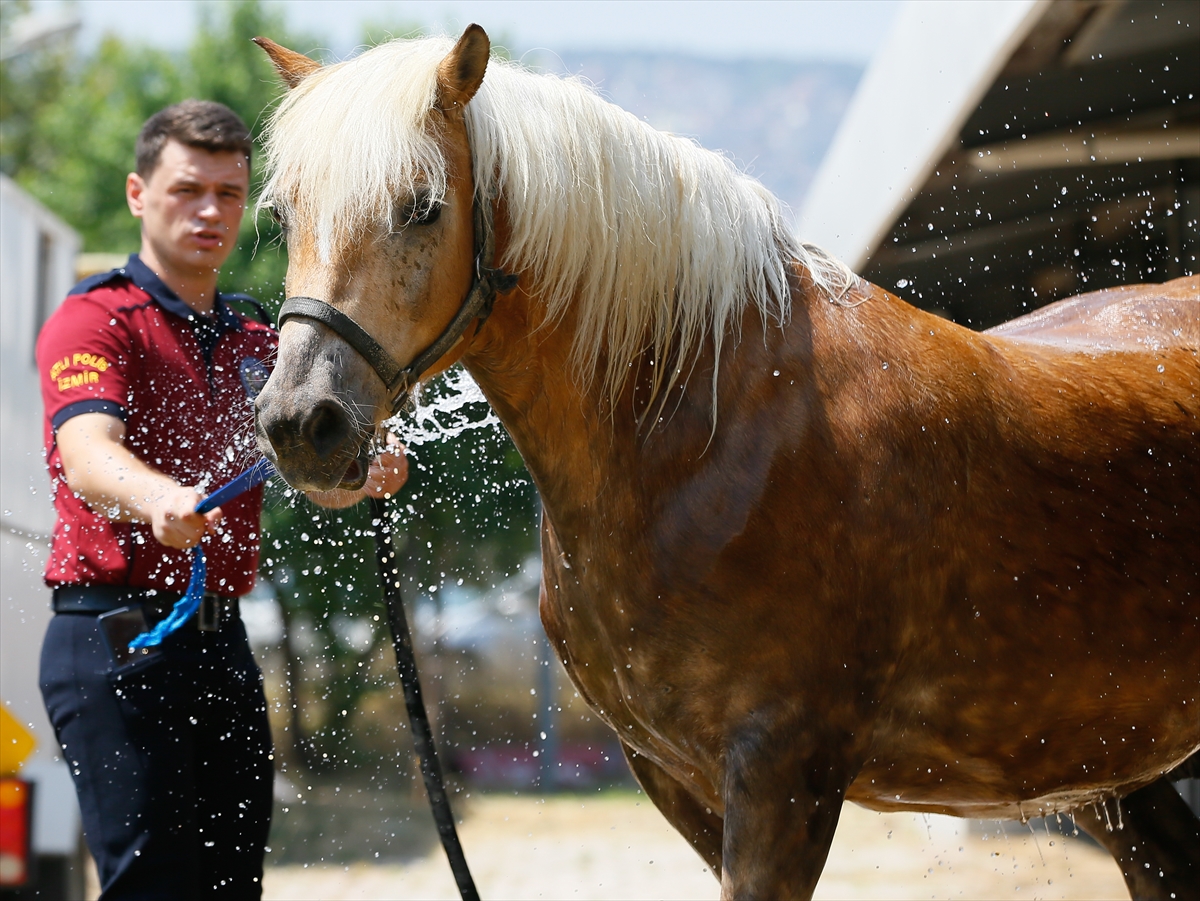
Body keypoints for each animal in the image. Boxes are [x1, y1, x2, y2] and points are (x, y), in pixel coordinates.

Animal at [248, 28, 1195, 901]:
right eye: (286, 215)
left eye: (422, 206)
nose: (301, 421)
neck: (700, 428)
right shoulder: (677, 779)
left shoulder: (784, 777)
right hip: (1111, 774)